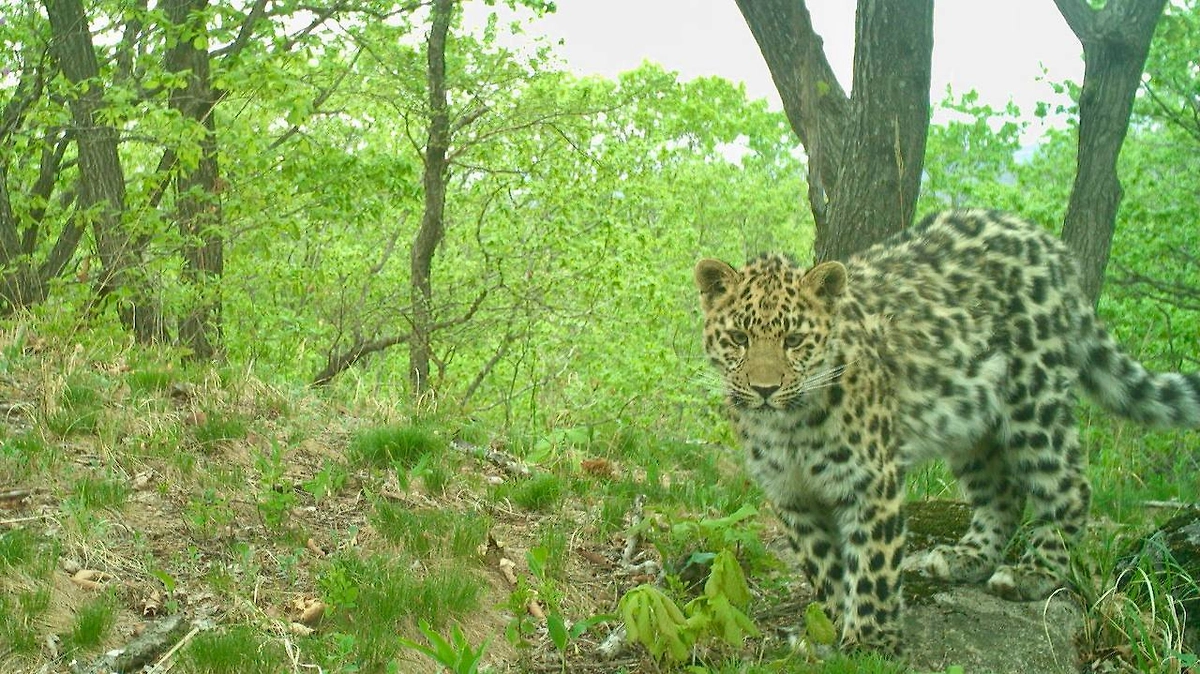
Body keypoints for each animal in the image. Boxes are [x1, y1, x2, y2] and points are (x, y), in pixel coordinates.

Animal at [693, 209, 1200, 655]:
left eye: (795, 341)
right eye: (739, 338)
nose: (763, 390)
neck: (789, 426)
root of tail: (1050, 245)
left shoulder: (871, 481)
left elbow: (872, 564)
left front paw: (870, 643)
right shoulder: (791, 495)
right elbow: (825, 566)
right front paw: (831, 627)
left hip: (1033, 401)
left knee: (1068, 484)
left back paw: (1032, 573)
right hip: (971, 423)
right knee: (1003, 494)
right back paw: (964, 558)